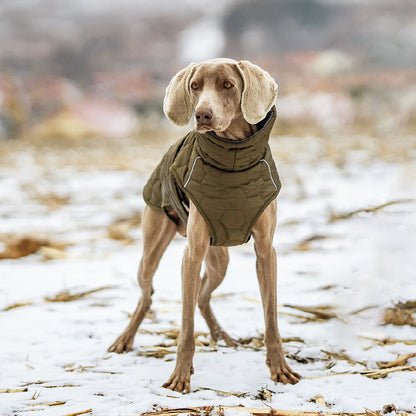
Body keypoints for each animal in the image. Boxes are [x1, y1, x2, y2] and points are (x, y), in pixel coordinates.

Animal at [109, 57, 300, 392]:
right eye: (195, 86)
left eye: (228, 85)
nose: (202, 115)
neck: (233, 162)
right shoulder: (192, 253)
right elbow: (186, 328)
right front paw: (180, 377)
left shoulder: (266, 252)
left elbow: (271, 319)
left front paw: (279, 368)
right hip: (153, 249)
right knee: (148, 295)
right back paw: (125, 339)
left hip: (219, 259)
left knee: (202, 296)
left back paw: (221, 336)